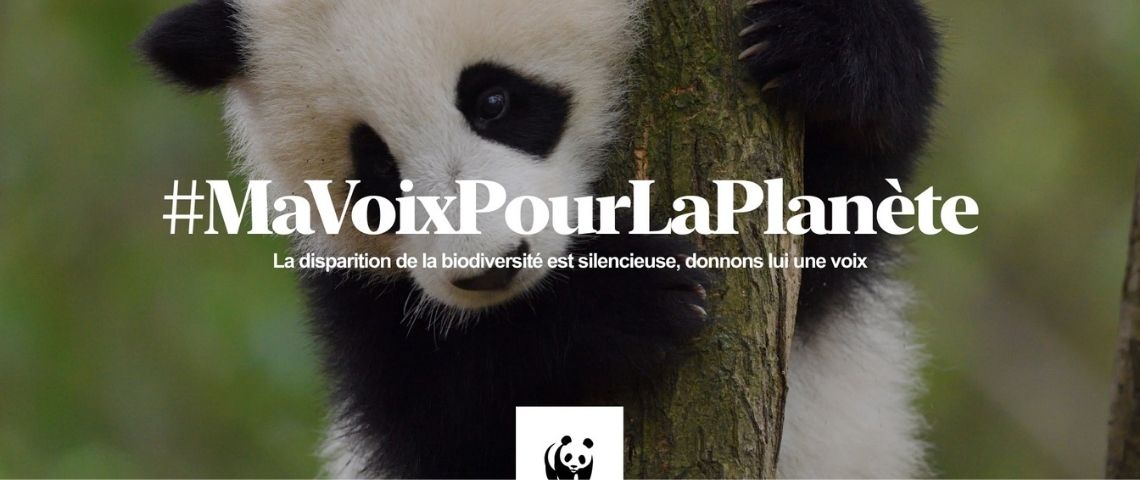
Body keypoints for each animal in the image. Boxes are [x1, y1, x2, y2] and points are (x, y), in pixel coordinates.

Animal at [138, 0, 939, 478]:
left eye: (494, 99)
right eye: (376, 173)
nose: (489, 270)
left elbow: (835, 220)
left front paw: (823, 44)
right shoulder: (355, 296)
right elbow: (437, 407)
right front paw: (622, 299)